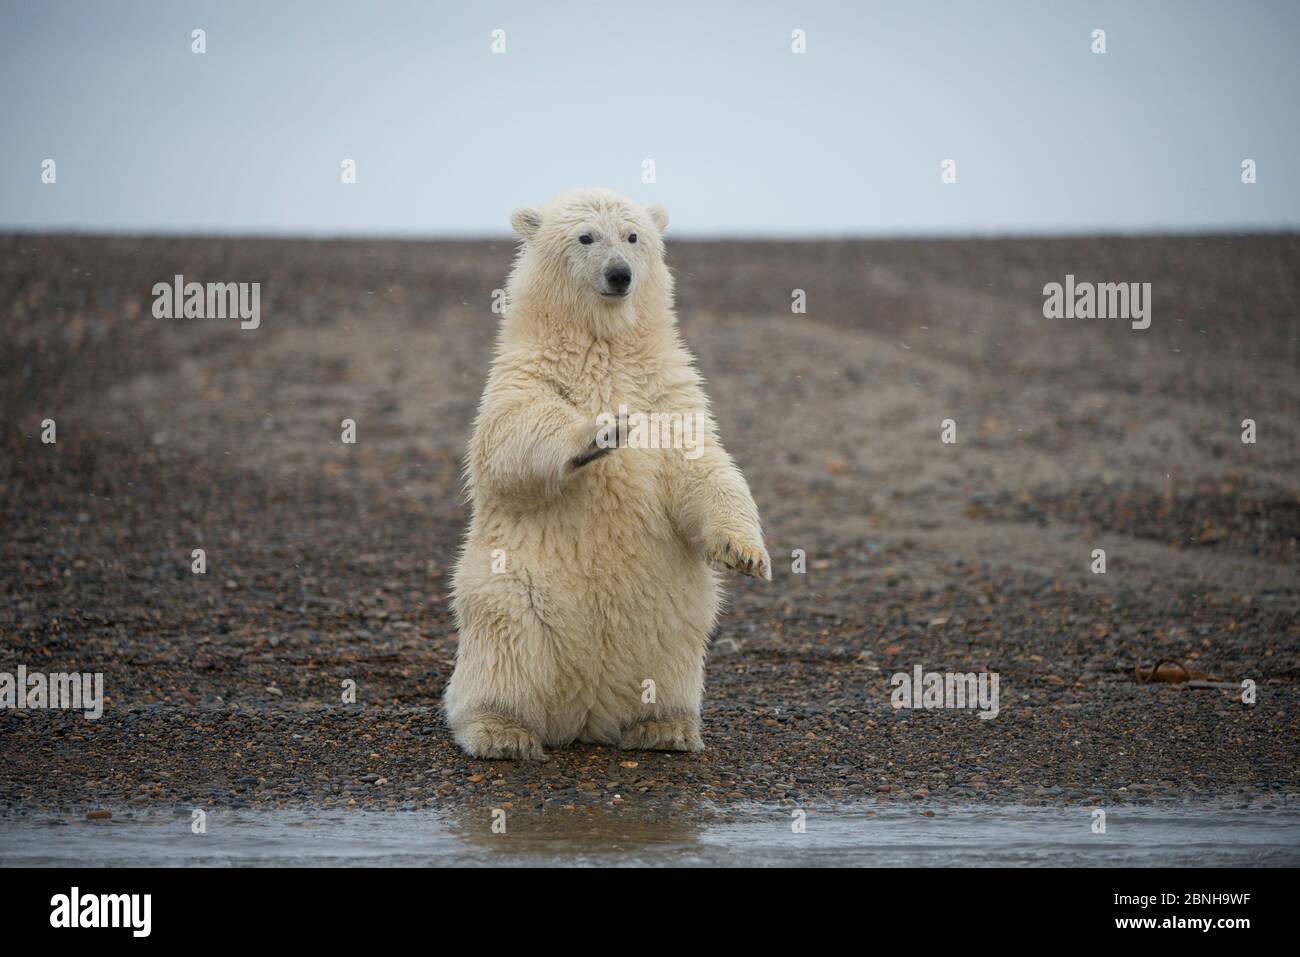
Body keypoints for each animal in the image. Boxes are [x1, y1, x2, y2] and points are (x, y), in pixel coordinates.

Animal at [441, 184, 764, 764]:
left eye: (633, 236)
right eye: (585, 236)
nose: (619, 274)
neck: (603, 344)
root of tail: (583, 714)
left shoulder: (668, 386)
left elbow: (702, 463)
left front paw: (745, 552)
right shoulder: (523, 373)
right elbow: (508, 439)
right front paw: (600, 432)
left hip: (672, 613)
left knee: (670, 655)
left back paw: (664, 728)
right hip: (513, 590)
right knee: (503, 642)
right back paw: (503, 732)